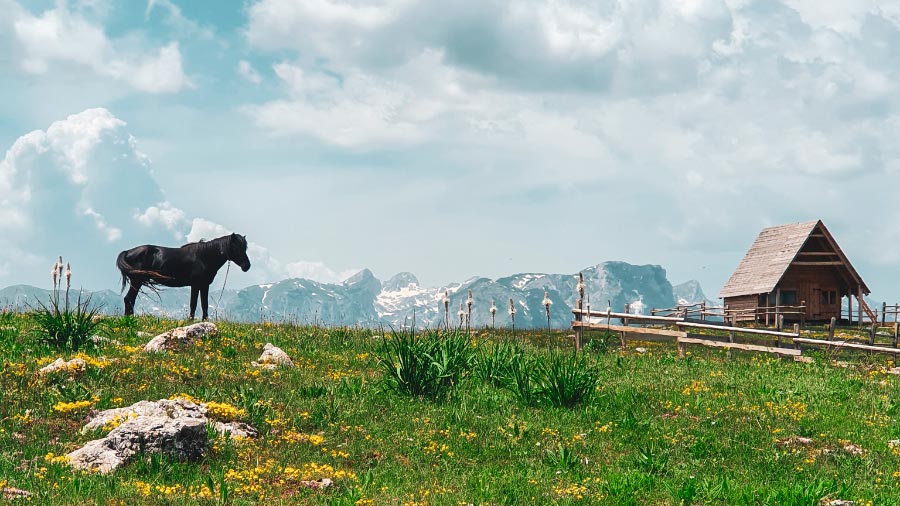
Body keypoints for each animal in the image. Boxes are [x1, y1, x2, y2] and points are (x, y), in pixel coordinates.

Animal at [116, 233, 251, 320]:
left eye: (245, 248)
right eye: (236, 247)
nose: (247, 266)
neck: (204, 256)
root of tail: (128, 251)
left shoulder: (204, 285)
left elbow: (204, 304)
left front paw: (205, 321)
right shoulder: (196, 285)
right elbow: (193, 304)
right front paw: (190, 321)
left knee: (129, 299)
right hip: (137, 281)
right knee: (129, 299)